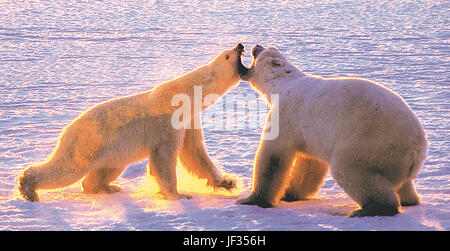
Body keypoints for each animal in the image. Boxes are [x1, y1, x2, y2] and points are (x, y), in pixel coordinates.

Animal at [18, 43, 250, 202]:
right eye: (227, 55)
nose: (240, 45)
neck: (185, 95)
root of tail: (66, 131)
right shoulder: (166, 124)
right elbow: (164, 159)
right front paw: (178, 195)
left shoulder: (189, 120)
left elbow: (195, 154)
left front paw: (227, 182)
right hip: (87, 144)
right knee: (66, 169)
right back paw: (28, 188)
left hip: (111, 151)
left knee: (105, 169)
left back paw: (107, 187)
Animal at [237, 44, 428, 216]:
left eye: (263, 50)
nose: (255, 46)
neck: (283, 83)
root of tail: (416, 147)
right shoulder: (312, 133)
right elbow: (310, 162)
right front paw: (290, 193)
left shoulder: (286, 115)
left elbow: (273, 157)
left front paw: (251, 200)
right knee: (404, 184)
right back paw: (409, 199)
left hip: (369, 144)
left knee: (352, 172)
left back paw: (368, 210)